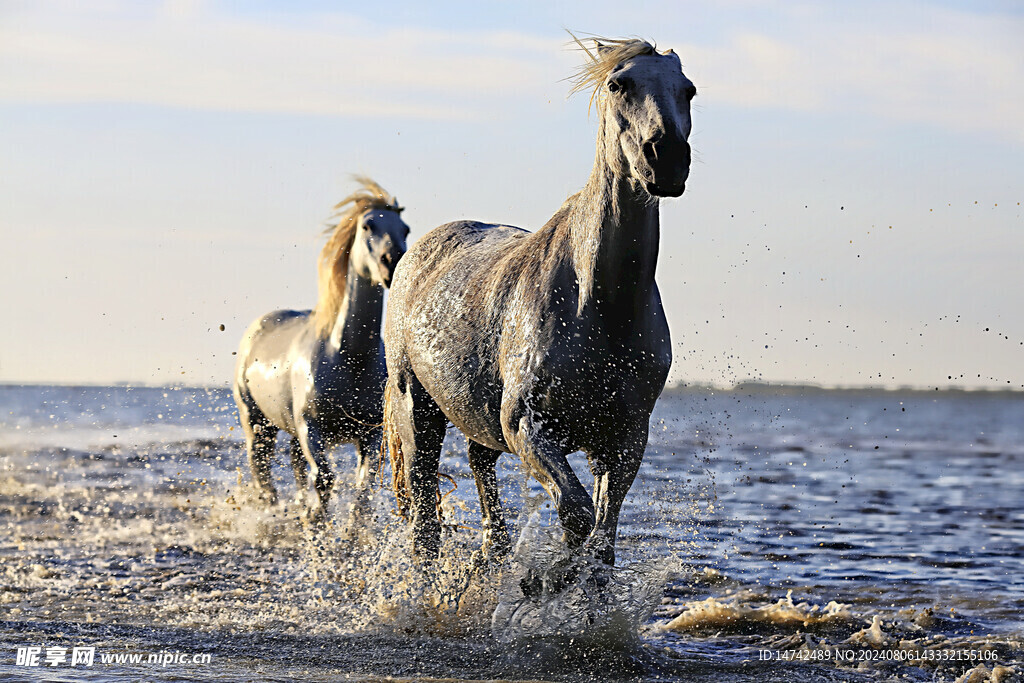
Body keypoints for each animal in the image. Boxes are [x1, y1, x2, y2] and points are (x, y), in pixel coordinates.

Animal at [233, 177, 409, 527]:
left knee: (295, 465)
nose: (393, 261)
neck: (349, 357)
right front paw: (318, 524)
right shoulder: (310, 428)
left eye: (405, 229)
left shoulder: (369, 434)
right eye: (368, 225)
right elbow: (324, 480)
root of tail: (257, 328)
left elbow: (363, 488)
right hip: (257, 423)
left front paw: (350, 533)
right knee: (262, 471)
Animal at [381, 37, 694, 572]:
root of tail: (415, 256)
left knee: (484, 486)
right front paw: (546, 580)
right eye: (619, 84)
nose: (666, 157)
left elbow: (601, 540)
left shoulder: (624, 438)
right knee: (424, 521)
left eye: (688, 90)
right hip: (416, 411)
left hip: (477, 424)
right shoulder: (527, 424)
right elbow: (576, 514)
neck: (599, 306)